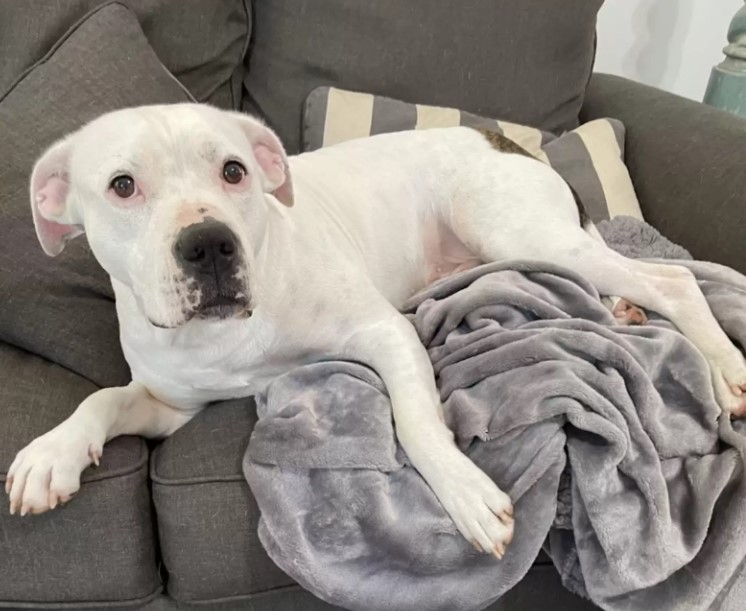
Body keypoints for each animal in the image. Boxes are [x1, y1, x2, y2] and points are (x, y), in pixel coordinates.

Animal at [5, 104, 744, 560]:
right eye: (122, 186)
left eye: (234, 171)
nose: (209, 243)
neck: (227, 335)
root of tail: (502, 137)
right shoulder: (170, 405)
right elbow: (103, 398)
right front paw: (51, 453)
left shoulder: (384, 333)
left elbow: (417, 422)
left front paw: (465, 492)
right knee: (623, 276)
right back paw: (622, 310)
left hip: (519, 231)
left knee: (674, 280)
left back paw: (725, 367)